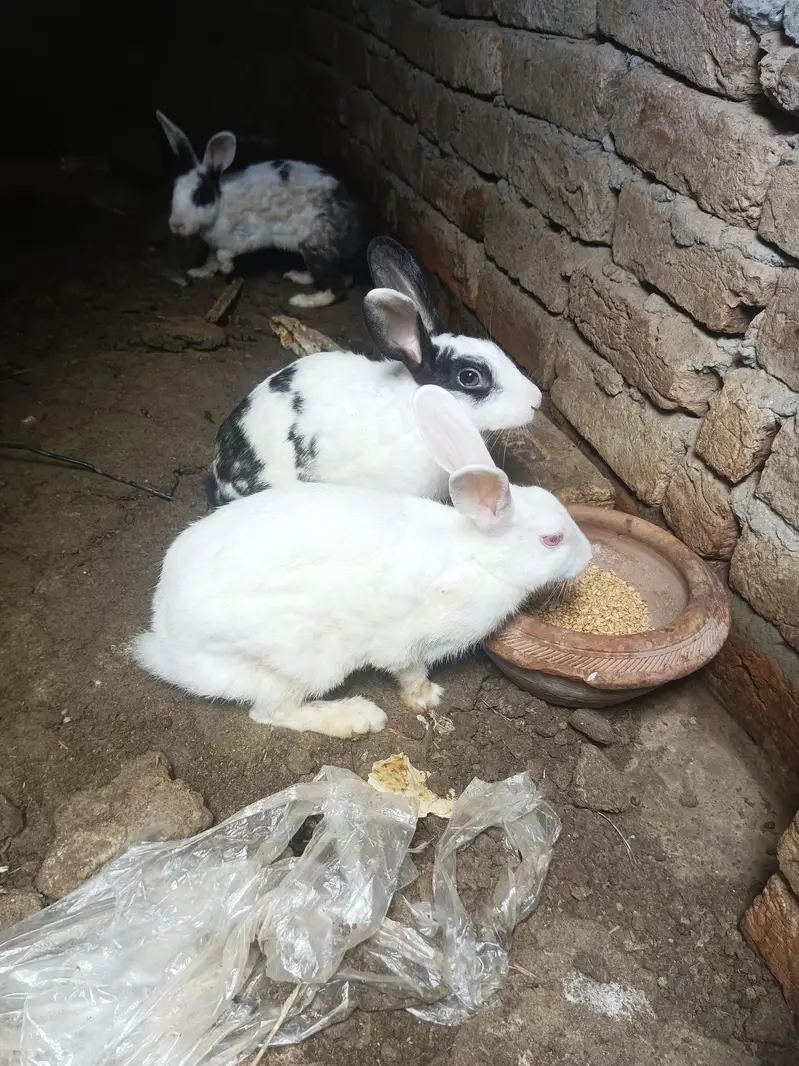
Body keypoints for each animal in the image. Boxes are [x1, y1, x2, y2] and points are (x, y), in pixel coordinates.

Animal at [133, 383, 592, 739]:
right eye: (552, 540)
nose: (589, 556)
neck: (479, 555)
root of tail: (166, 641)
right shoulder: (407, 643)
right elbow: (410, 671)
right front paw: (427, 698)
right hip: (307, 661)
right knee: (270, 711)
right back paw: (357, 717)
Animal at [155, 110, 363, 308]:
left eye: (199, 197)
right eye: (174, 190)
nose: (176, 225)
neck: (220, 205)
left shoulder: (248, 237)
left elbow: (223, 254)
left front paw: (227, 269)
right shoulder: (213, 244)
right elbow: (211, 258)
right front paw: (199, 272)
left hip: (314, 246)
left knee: (338, 287)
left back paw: (302, 300)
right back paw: (297, 276)